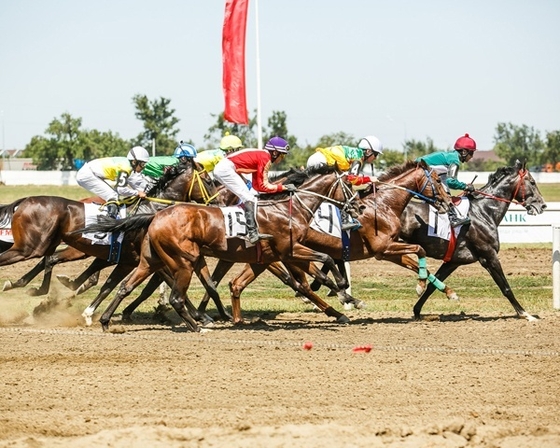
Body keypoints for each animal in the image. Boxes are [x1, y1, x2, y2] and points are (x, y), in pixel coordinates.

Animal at [77, 166, 358, 330]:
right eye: (349, 186)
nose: (357, 207)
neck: (287, 209)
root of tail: (156, 216)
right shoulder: (289, 251)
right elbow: (324, 262)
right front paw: (343, 293)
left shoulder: (282, 254)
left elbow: (314, 272)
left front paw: (344, 299)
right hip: (182, 261)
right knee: (175, 296)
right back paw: (197, 325)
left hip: (151, 260)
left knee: (124, 286)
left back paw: (104, 319)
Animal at [197, 159, 456, 324]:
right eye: (437, 180)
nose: (449, 203)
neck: (382, 204)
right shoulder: (383, 248)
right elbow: (419, 249)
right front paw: (421, 285)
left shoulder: (389, 251)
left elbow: (418, 263)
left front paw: (447, 291)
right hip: (285, 255)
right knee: (298, 284)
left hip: (267, 258)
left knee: (237, 283)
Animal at [400, 159, 548, 320]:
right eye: (532, 182)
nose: (542, 205)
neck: (483, 211)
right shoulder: (489, 256)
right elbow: (505, 287)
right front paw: (525, 314)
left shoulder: (453, 261)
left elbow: (432, 285)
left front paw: (417, 311)